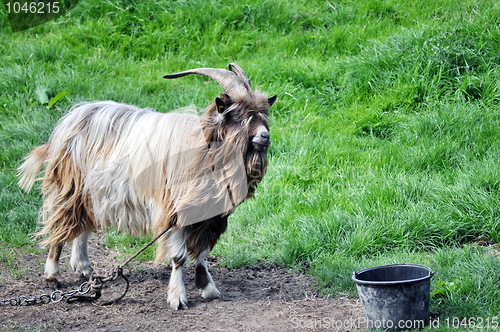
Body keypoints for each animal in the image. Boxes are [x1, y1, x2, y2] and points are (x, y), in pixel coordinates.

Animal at [18, 63, 278, 310]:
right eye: (238, 117)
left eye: (263, 115)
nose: (265, 136)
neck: (204, 148)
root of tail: (73, 118)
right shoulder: (174, 211)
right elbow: (179, 256)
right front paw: (177, 297)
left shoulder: (212, 215)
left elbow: (203, 252)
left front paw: (208, 288)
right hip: (71, 187)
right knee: (61, 224)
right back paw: (53, 276)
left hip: (93, 192)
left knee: (83, 223)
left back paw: (84, 269)